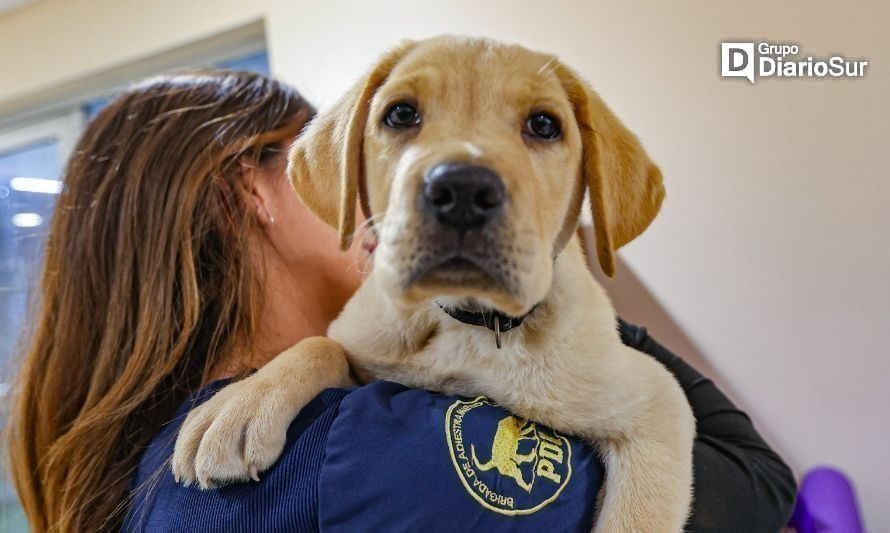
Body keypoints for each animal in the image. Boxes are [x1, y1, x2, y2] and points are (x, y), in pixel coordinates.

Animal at [173, 35, 692, 528]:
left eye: (544, 125)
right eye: (401, 114)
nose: (463, 190)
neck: (467, 322)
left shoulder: (656, 406)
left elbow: (635, 519)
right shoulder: (365, 355)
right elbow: (321, 345)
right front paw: (241, 403)